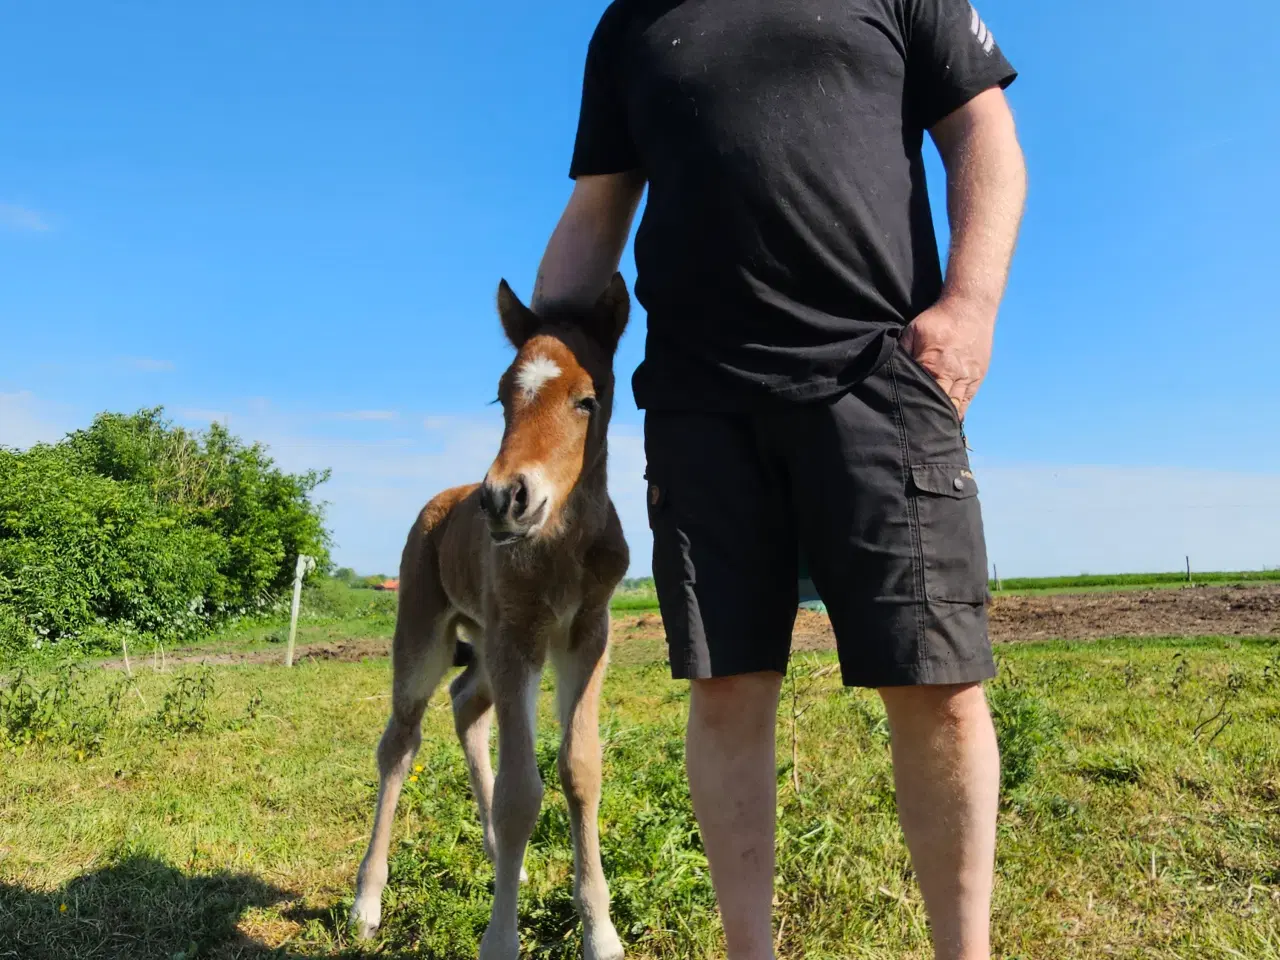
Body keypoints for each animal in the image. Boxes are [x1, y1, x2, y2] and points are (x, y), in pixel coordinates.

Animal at [353, 273, 632, 957]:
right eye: (503, 396)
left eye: (589, 399)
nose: (505, 497)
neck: (561, 544)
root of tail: (443, 499)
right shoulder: (518, 638)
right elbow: (519, 794)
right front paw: (501, 940)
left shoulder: (586, 635)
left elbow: (580, 770)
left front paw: (601, 932)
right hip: (424, 634)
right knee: (400, 742)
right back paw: (367, 900)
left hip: (482, 644)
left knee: (465, 705)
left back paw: (501, 855)